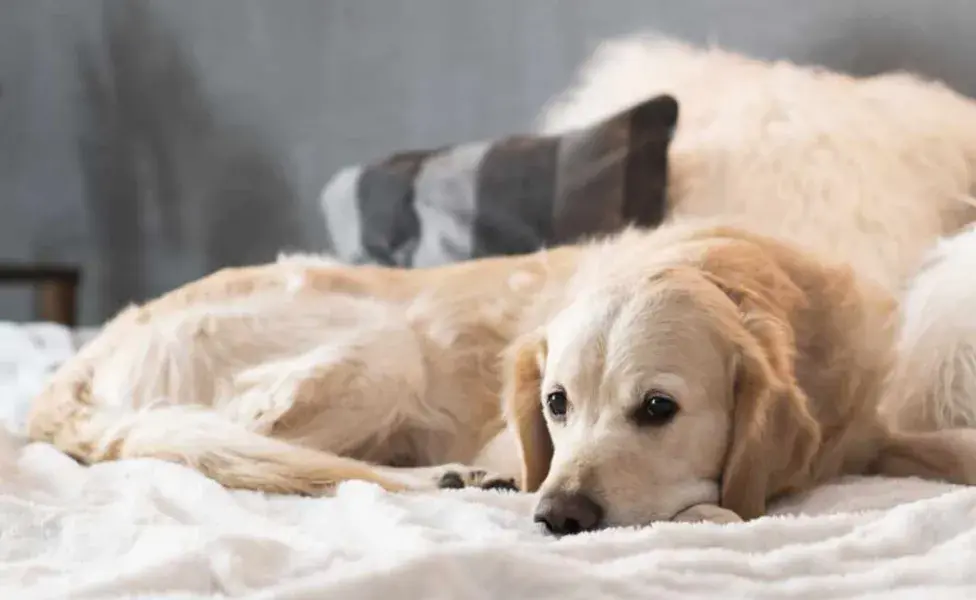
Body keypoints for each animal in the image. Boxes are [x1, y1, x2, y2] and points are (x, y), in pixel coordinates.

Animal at [24, 223, 976, 532]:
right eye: (555, 404)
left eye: (657, 407)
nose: (558, 517)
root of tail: (81, 361)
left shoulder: (870, 429)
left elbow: (937, 445)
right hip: (384, 349)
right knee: (268, 456)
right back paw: (452, 477)